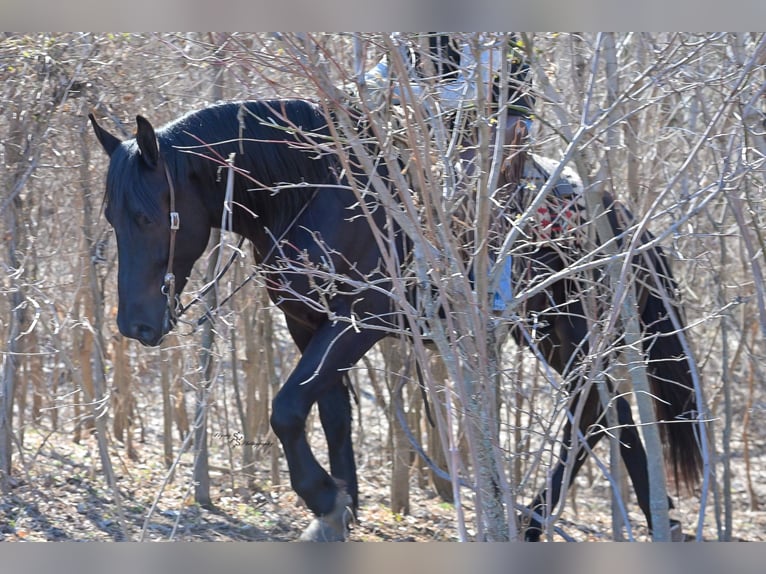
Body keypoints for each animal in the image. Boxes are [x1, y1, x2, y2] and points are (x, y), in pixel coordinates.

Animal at [89, 98, 701, 541]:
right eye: (111, 217)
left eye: (147, 216)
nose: (133, 326)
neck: (316, 193)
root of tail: (619, 216)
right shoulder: (306, 322)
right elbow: (330, 412)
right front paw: (339, 510)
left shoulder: (363, 319)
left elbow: (287, 408)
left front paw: (322, 495)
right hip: (550, 335)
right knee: (603, 411)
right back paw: (635, 518)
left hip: (571, 329)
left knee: (596, 410)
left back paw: (559, 521)